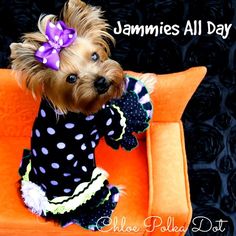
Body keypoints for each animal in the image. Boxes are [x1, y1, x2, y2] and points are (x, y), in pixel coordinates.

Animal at [9, 0, 153, 230]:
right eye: (71, 78)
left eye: (94, 56)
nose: (101, 82)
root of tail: (41, 202)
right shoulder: (107, 120)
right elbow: (125, 115)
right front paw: (147, 81)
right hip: (90, 185)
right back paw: (115, 193)